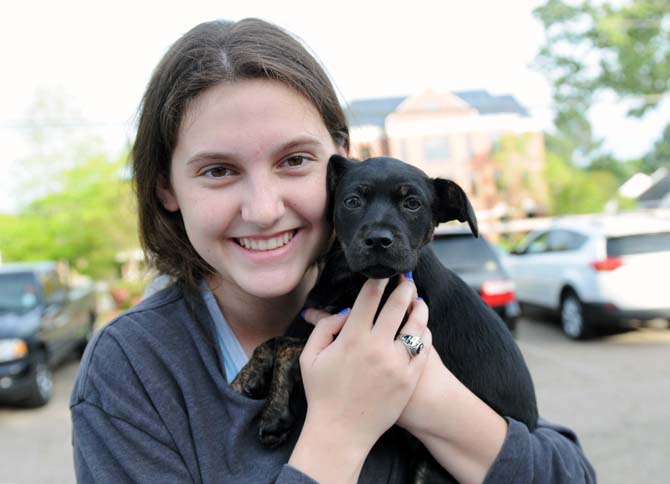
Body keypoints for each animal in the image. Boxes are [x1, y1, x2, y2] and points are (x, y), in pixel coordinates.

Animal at [232, 158, 540, 480]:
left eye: (412, 203)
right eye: (352, 201)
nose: (378, 240)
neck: (350, 277)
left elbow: (289, 347)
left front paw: (274, 416)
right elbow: (274, 341)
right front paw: (246, 378)